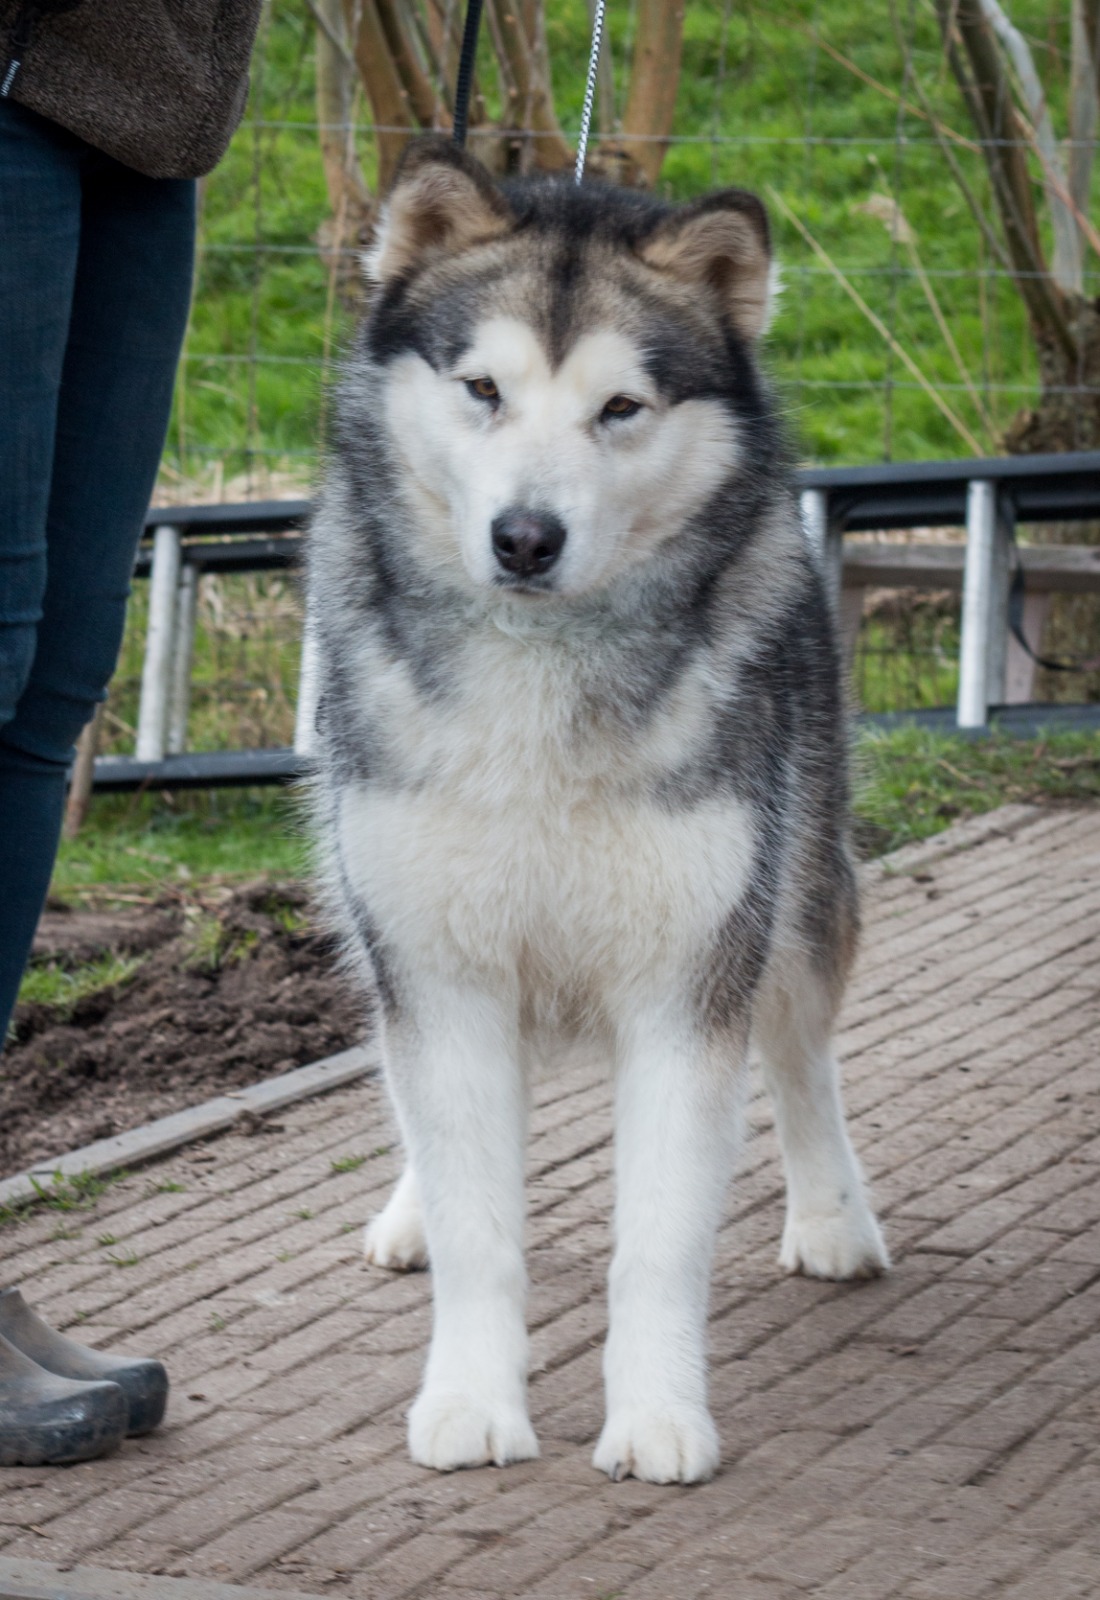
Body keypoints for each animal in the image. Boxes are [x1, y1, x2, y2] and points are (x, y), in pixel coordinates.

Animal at [306, 134, 882, 1484]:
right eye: (481, 388)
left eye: (619, 407)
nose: (525, 536)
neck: (537, 679)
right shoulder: (440, 967)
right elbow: (479, 1223)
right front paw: (470, 1400)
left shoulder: (688, 975)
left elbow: (660, 1238)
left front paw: (659, 1416)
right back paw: (409, 1203)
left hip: (794, 894)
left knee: (801, 1053)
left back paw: (832, 1212)